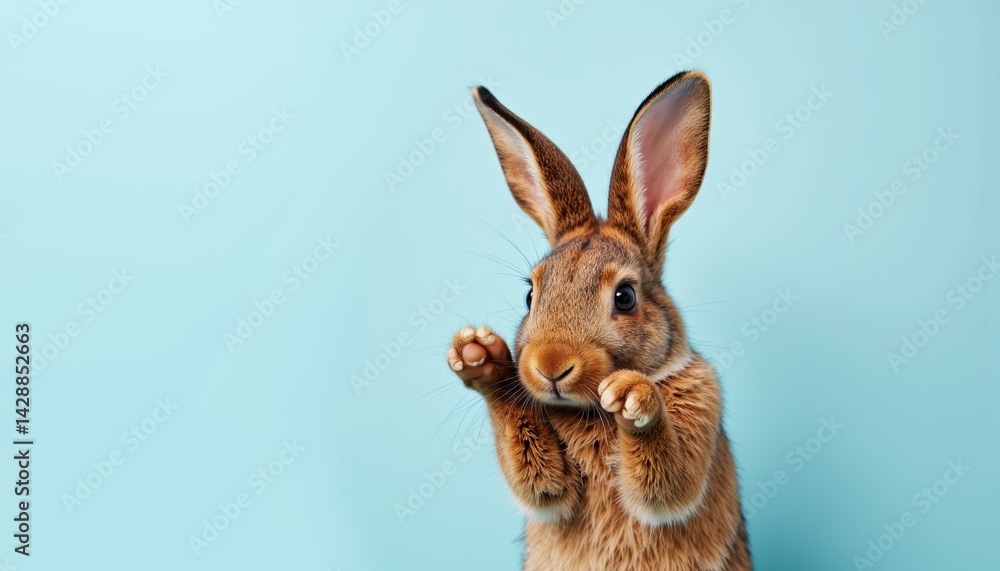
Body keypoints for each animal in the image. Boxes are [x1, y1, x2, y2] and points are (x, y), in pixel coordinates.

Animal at [446, 71, 751, 570]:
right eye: (530, 294)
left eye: (625, 297)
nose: (550, 366)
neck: (587, 410)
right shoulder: (547, 481)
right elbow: (538, 479)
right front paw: (479, 357)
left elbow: (670, 482)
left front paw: (632, 396)